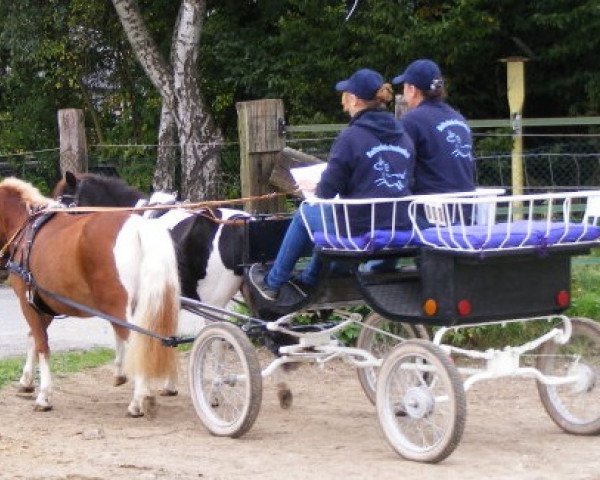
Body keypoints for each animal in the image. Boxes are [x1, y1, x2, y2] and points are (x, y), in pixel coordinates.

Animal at [0, 177, 180, 416]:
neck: (27, 227)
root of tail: (138, 227)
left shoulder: (27, 302)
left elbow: (41, 344)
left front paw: (44, 395)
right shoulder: (44, 305)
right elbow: (33, 338)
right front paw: (26, 381)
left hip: (118, 306)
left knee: (135, 340)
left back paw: (137, 401)